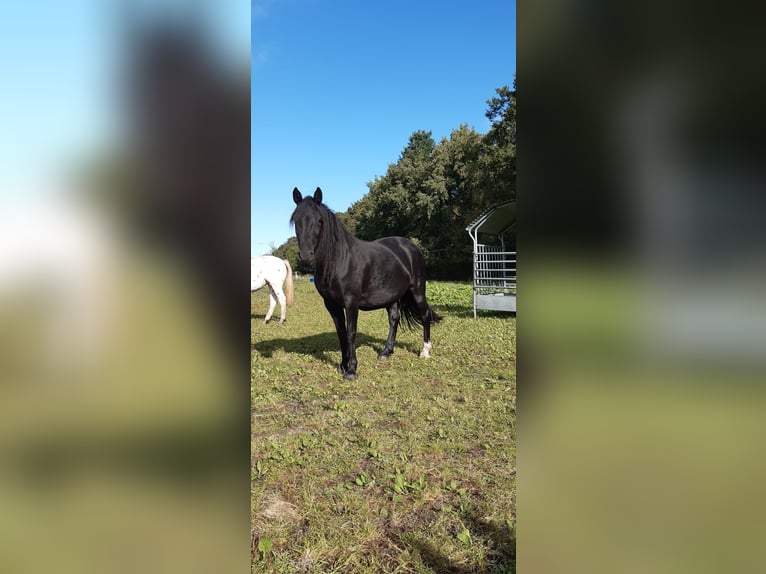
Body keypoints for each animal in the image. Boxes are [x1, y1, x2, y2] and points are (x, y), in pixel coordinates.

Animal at [290, 187, 444, 380]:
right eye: (296, 220)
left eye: (319, 220)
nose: (305, 257)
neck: (339, 261)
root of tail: (411, 247)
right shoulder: (331, 304)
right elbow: (341, 333)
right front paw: (343, 365)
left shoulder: (351, 303)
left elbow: (351, 333)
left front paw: (351, 370)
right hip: (392, 296)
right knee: (394, 319)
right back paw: (386, 352)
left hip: (417, 290)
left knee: (424, 315)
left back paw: (425, 351)